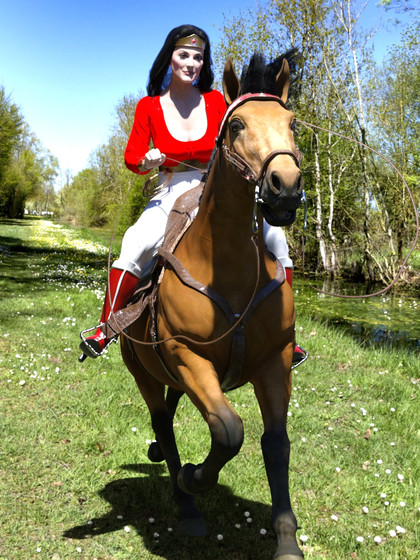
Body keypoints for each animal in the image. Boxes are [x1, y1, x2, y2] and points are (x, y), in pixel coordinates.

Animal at [120, 53, 305, 560]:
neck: (229, 269)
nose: (285, 187)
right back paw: (185, 503)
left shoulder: (274, 361)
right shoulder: (185, 354)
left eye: (292, 123)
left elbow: (274, 443)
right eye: (237, 124)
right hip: (145, 372)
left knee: (170, 413)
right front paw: (194, 478)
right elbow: (228, 430)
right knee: (163, 422)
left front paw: (286, 537)